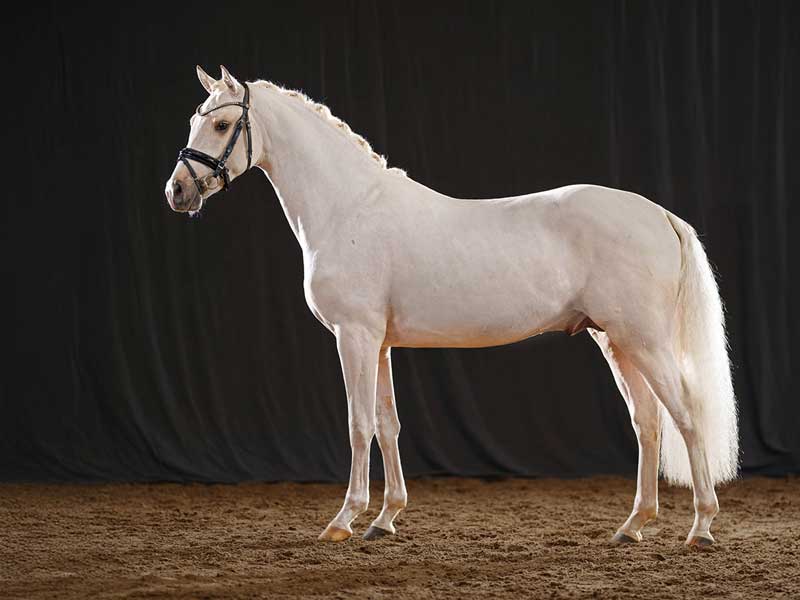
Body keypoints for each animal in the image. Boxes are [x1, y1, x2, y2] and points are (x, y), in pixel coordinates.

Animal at [165, 66, 738, 546]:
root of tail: (659, 213)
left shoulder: (354, 337)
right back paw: (632, 526)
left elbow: (358, 423)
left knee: (686, 414)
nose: (176, 192)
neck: (351, 208)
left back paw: (702, 527)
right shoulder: (379, 344)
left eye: (221, 124)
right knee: (648, 422)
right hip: (614, 340)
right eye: (195, 119)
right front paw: (385, 518)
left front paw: (344, 519)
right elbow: (388, 423)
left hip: (644, 340)